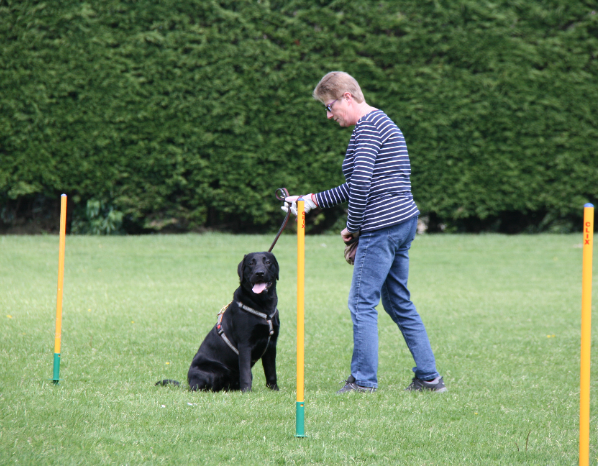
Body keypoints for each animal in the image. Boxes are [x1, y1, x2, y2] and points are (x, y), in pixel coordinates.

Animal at [158, 253, 282, 392]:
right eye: (251, 263)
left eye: (268, 262)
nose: (259, 273)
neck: (263, 307)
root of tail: (189, 383)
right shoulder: (245, 344)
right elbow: (245, 372)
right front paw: (247, 391)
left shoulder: (271, 344)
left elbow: (271, 372)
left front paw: (274, 389)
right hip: (211, 372)